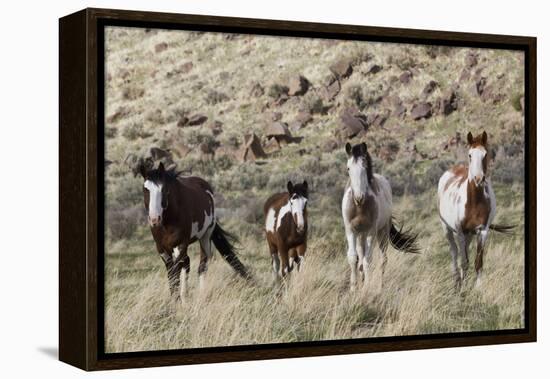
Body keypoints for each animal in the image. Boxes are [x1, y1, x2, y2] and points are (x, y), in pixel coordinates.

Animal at [342, 142, 420, 290]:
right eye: (348, 168)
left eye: (364, 167)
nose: (359, 197)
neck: (360, 207)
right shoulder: (351, 230)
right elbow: (353, 257)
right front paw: (354, 288)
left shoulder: (371, 232)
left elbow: (368, 259)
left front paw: (366, 288)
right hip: (361, 235)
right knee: (361, 257)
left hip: (382, 232)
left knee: (383, 260)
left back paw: (380, 287)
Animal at [440, 132, 512, 290]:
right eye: (470, 155)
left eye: (485, 154)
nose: (479, 179)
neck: (474, 202)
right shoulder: (460, 233)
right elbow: (463, 261)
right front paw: (462, 288)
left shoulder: (482, 231)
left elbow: (478, 262)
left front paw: (478, 287)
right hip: (447, 229)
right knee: (454, 253)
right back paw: (456, 281)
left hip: (470, 235)